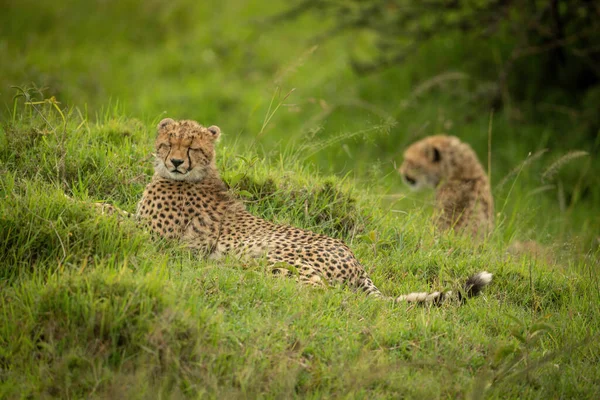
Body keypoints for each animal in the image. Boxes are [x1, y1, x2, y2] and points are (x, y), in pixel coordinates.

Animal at [130, 119, 488, 304]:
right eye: (168, 143)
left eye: (192, 147)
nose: (177, 162)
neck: (197, 175)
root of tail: (356, 261)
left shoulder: (154, 237)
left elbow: (116, 215)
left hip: (274, 254)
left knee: (315, 289)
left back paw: (232, 273)